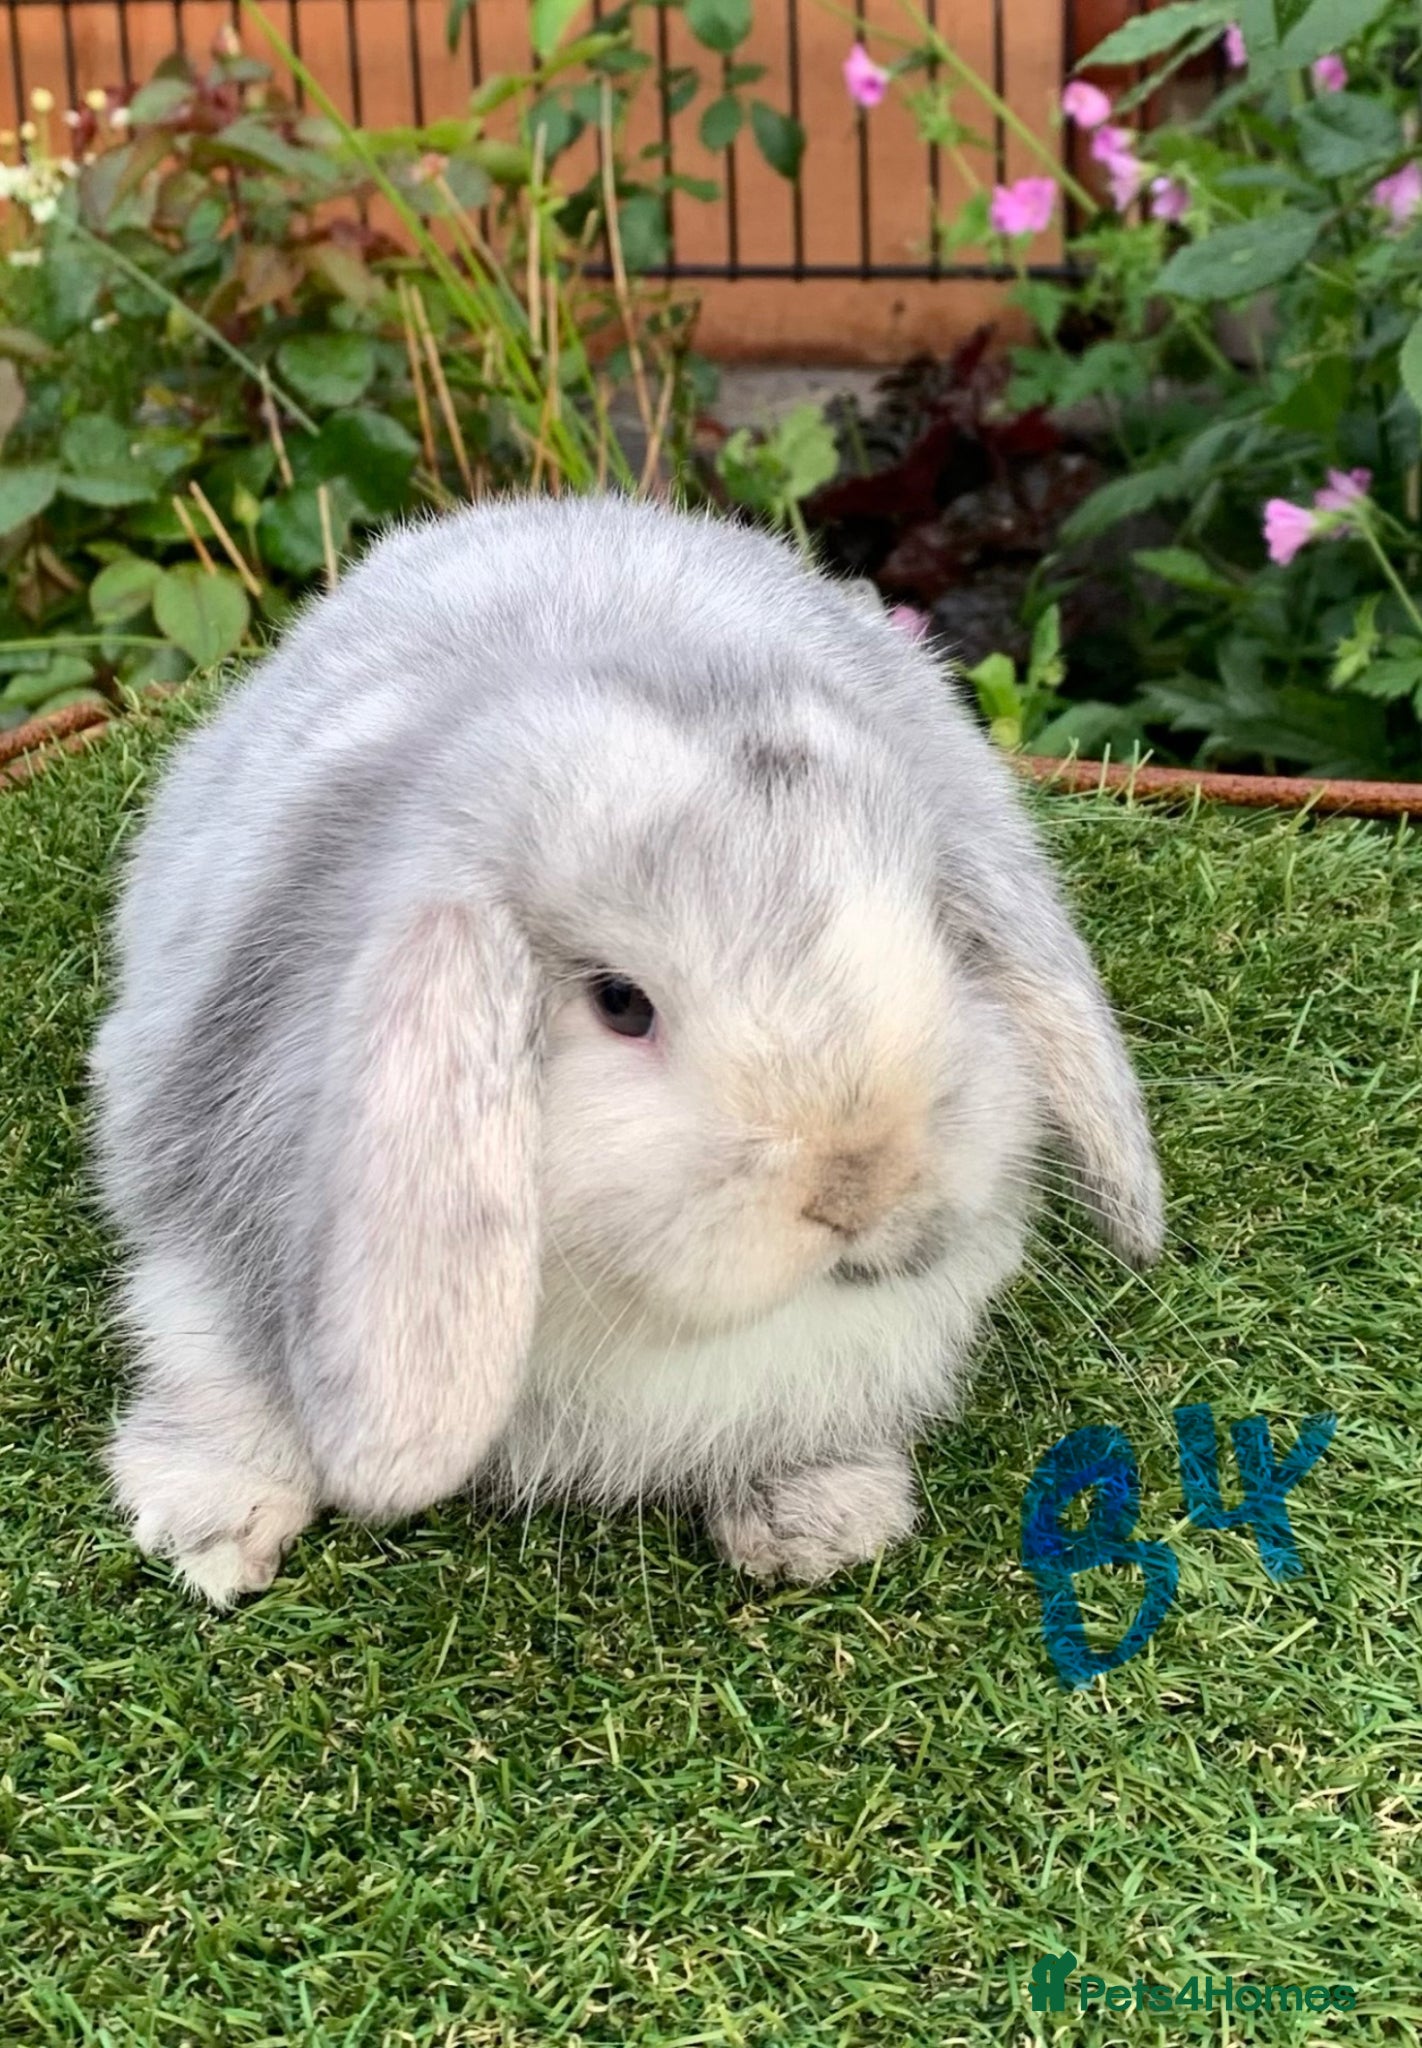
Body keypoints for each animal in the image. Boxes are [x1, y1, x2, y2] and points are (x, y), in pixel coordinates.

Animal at [90, 492, 1163, 1606]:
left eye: (944, 942)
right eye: (620, 1003)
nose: (860, 1185)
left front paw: (818, 1523)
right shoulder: (206, 1217)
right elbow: (220, 1374)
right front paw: (210, 1533)